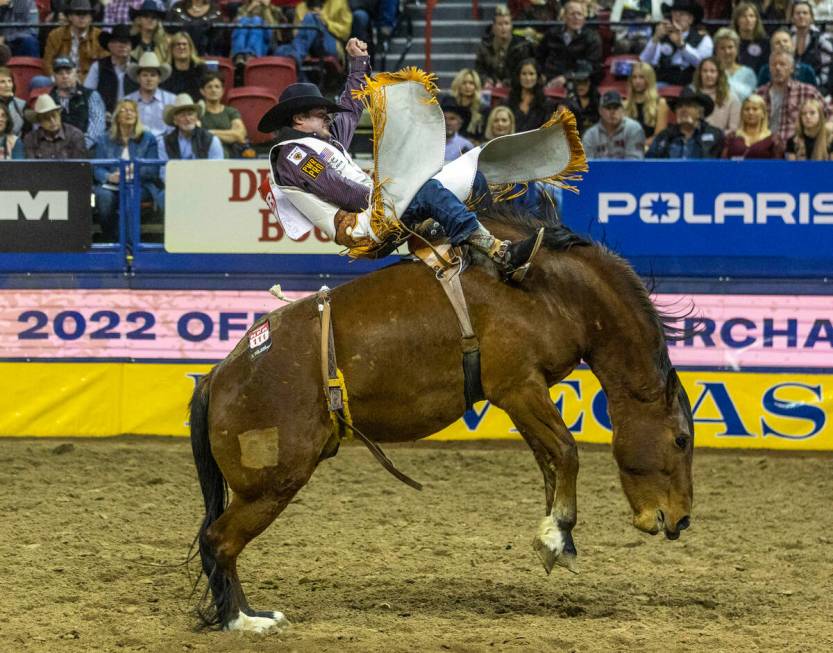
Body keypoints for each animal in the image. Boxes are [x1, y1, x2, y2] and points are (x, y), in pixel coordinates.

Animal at [188, 209, 696, 632]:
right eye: (681, 440)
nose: (683, 519)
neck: (552, 290)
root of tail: (220, 374)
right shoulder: (517, 385)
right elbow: (566, 452)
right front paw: (557, 538)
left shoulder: (521, 394)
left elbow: (550, 461)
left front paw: (558, 536)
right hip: (271, 482)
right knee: (219, 541)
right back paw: (244, 622)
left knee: (218, 543)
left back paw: (249, 613)